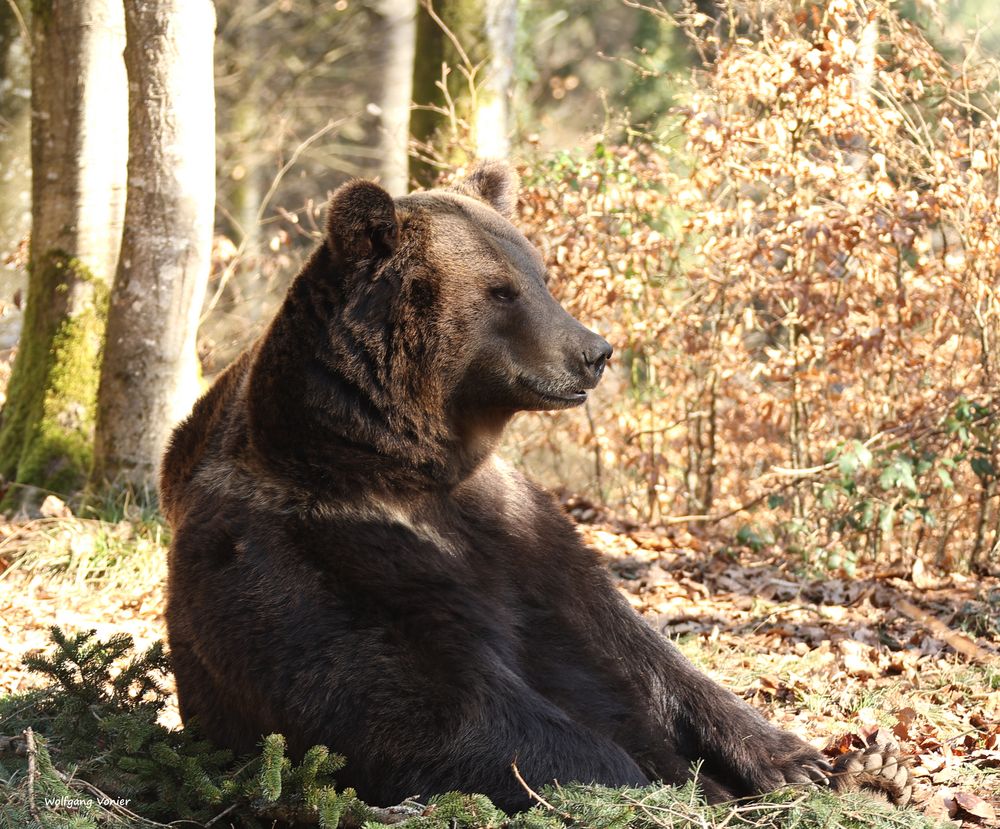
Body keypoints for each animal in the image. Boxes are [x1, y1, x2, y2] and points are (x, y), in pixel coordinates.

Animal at [160, 160, 912, 808]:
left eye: (540, 275)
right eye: (500, 290)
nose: (593, 352)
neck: (399, 465)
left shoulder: (517, 529)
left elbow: (645, 654)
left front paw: (820, 760)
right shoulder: (319, 554)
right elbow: (433, 705)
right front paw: (654, 783)